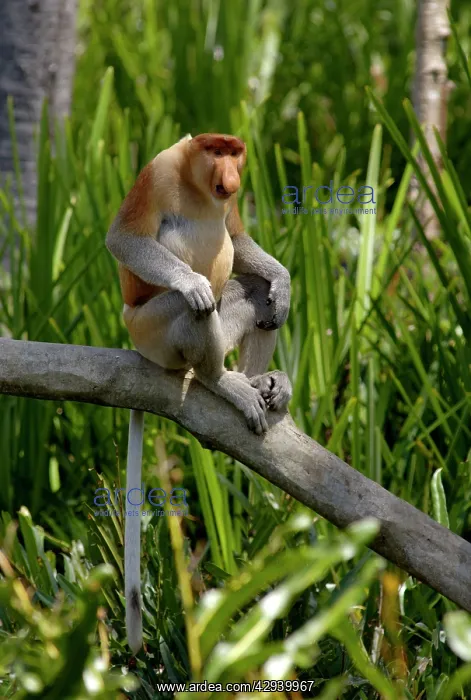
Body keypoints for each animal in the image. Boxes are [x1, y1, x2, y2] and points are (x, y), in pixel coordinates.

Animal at [105, 133, 292, 654]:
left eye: (235, 153)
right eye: (216, 151)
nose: (228, 175)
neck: (197, 185)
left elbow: (239, 239)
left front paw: (284, 280)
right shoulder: (157, 171)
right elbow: (124, 239)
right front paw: (191, 282)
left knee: (253, 293)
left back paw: (260, 381)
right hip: (150, 329)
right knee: (198, 307)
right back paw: (220, 380)